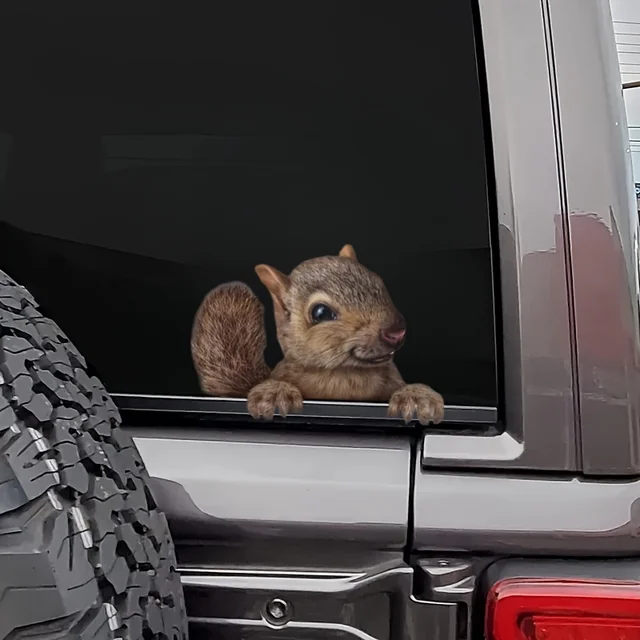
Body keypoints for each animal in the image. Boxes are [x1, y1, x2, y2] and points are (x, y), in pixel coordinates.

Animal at [191, 244, 444, 425]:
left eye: (379, 283)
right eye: (320, 312)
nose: (396, 331)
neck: (345, 376)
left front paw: (417, 396)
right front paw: (274, 393)